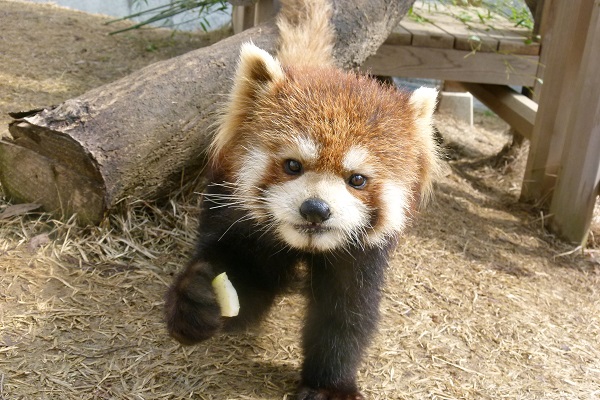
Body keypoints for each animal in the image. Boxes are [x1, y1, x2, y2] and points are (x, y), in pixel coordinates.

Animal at [166, 0, 438, 396]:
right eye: (292, 165)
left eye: (357, 179)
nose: (316, 209)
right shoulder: (245, 226)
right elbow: (248, 284)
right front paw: (198, 298)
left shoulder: (362, 254)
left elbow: (346, 312)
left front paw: (331, 385)